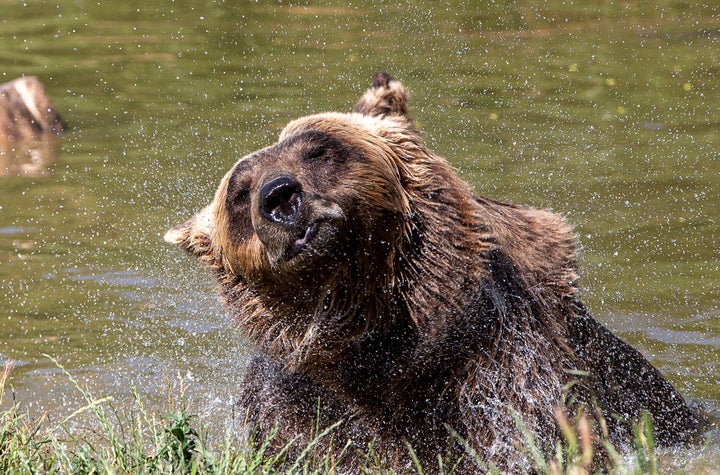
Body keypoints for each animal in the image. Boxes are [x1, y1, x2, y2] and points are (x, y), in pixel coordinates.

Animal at [166, 72, 700, 474]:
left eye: (318, 148)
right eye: (239, 193)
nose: (279, 196)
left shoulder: (497, 366)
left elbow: (523, 435)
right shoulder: (301, 404)